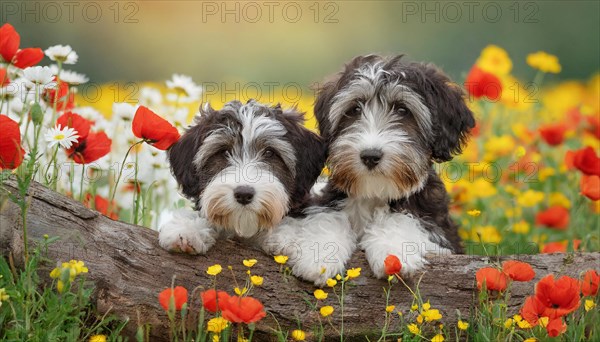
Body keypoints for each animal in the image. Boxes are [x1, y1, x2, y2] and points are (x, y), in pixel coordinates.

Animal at [270, 54, 474, 284]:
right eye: (355, 109)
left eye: (403, 110)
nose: (370, 155)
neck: (374, 193)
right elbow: (328, 218)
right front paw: (319, 255)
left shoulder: (441, 234)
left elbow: (403, 221)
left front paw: (393, 252)